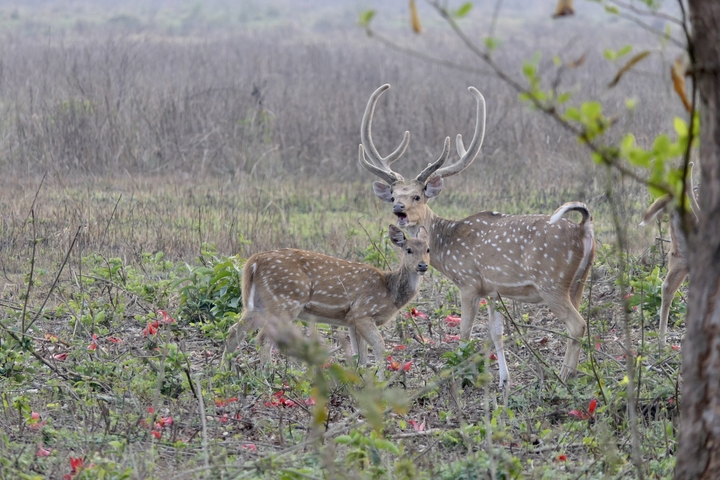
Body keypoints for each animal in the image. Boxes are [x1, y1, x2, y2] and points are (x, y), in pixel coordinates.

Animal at [223, 224, 430, 378]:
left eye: (428, 249)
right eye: (409, 250)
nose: (423, 265)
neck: (390, 292)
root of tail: (253, 262)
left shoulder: (351, 321)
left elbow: (360, 354)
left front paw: (362, 378)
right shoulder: (362, 312)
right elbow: (380, 345)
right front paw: (381, 380)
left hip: (259, 305)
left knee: (233, 332)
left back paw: (224, 372)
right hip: (285, 301)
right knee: (263, 338)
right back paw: (266, 378)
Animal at [358, 84, 596, 387]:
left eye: (417, 195)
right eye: (392, 195)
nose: (399, 209)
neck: (446, 242)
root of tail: (583, 229)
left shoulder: (469, 282)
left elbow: (465, 333)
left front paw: (461, 376)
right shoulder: (493, 289)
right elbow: (496, 333)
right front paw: (503, 381)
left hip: (552, 282)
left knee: (577, 324)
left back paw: (565, 376)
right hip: (578, 282)